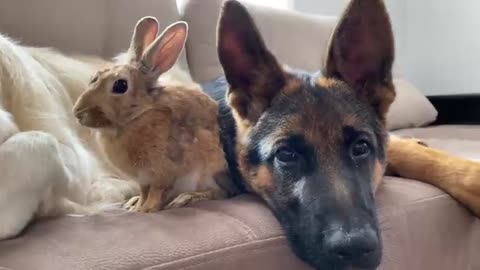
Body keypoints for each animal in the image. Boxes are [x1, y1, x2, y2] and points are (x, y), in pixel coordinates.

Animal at [72, 17, 232, 213]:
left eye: (120, 85)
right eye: (95, 76)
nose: (78, 113)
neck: (138, 116)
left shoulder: (161, 173)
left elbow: (156, 192)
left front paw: (146, 209)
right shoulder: (143, 179)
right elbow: (144, 192)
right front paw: (136, 206)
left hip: (208, 172)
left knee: (219, 192)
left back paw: (185, 198)